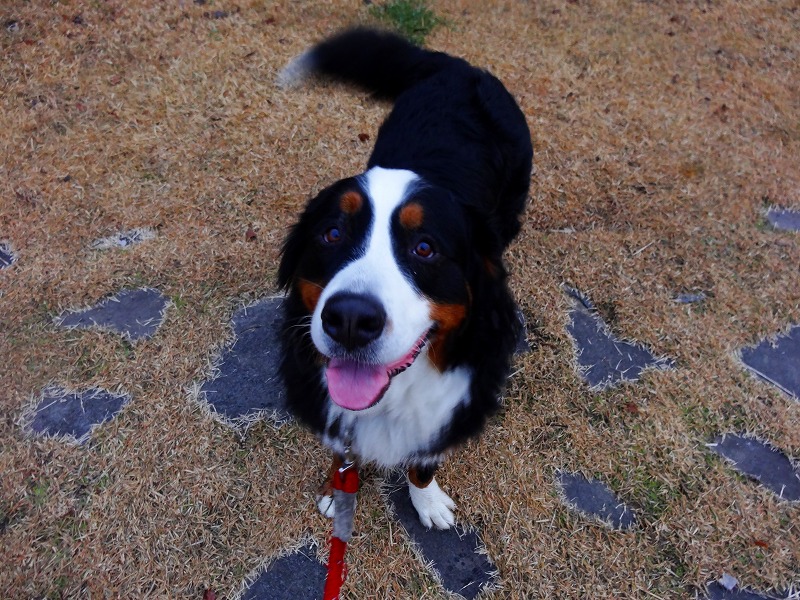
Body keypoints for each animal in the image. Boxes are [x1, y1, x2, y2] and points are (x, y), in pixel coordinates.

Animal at [276, 28, 532, 528]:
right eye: (332, 233)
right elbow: (342, 450)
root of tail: (460, 67)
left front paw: (427, 502)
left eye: (425, 248)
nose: (350, 320)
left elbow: (422, 462)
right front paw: (338, 492)